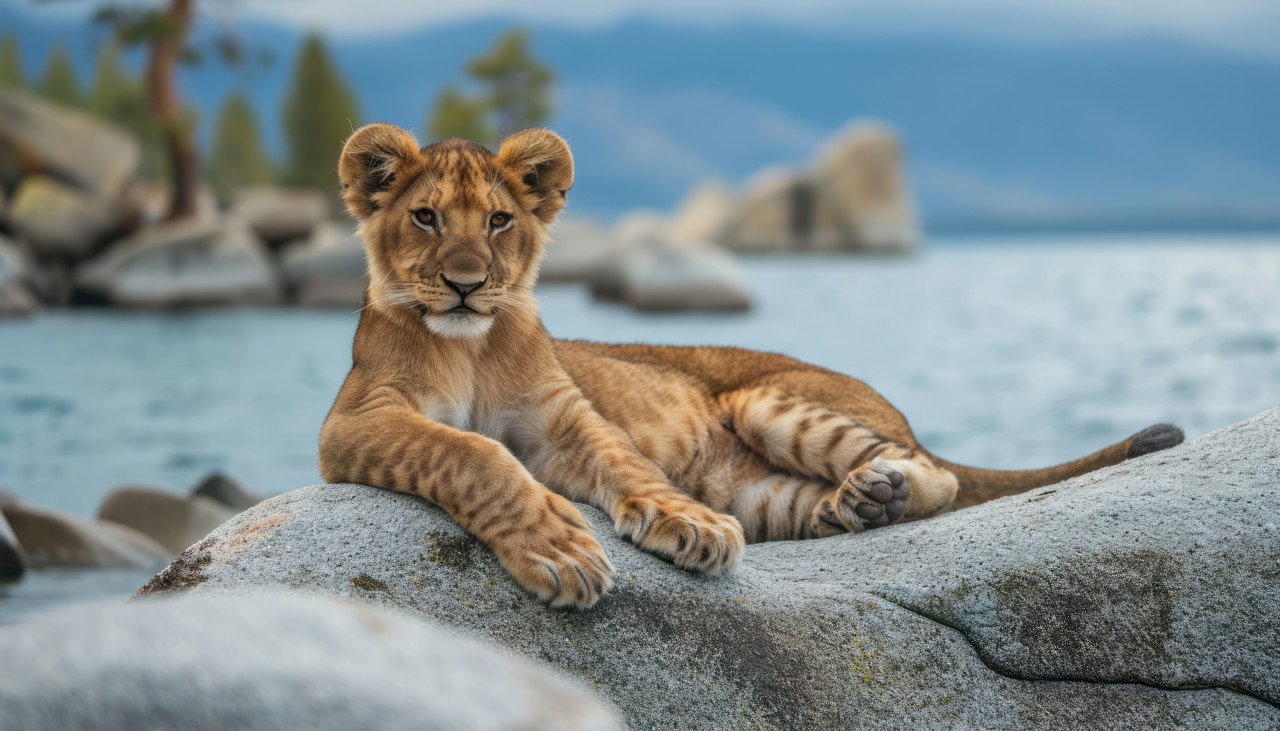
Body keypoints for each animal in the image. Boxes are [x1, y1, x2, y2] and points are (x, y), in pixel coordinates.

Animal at [319, 124, 1184, 609]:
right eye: (426, 217)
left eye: (499, 221)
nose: (467, 283)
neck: (470, 344)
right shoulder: (352, 424)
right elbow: (471, 453)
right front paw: (561, 550)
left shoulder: (563, 422)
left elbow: (624, 463)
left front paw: (686, 525)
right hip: (756, 488)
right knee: (825, 499)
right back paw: (858, 504)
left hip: (768, 401)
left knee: (934, 474)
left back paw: (882, 487)